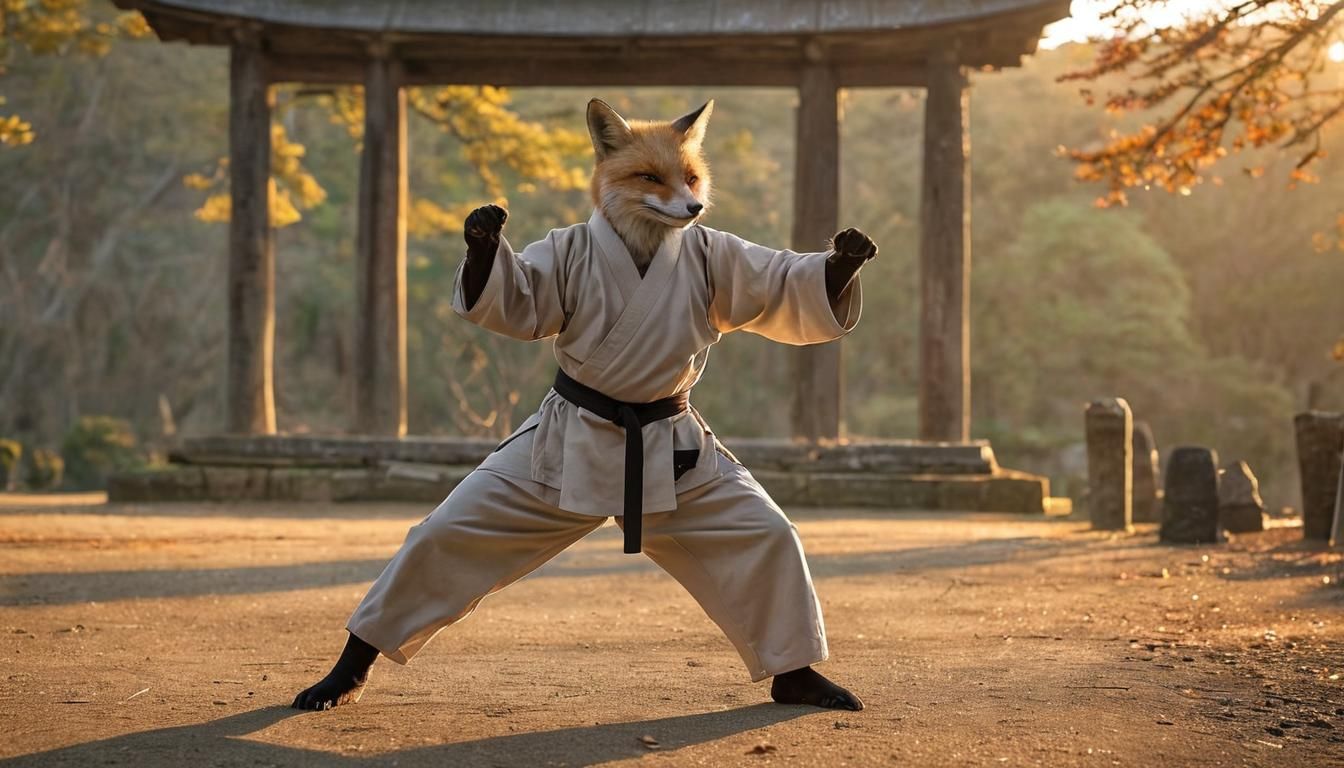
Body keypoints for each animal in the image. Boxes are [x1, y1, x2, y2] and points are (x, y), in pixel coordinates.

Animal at [293, 98, 875, 714]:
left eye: (691, 179)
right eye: (651, 179)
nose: (692, 208)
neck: (642, 244)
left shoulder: (724, 259)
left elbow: (785, 287)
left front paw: (843, 262)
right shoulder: (553, 268)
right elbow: (518, 300)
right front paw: (482, 238)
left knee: (770, 550)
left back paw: (802, 681)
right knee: (432, 552)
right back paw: (340, 678)